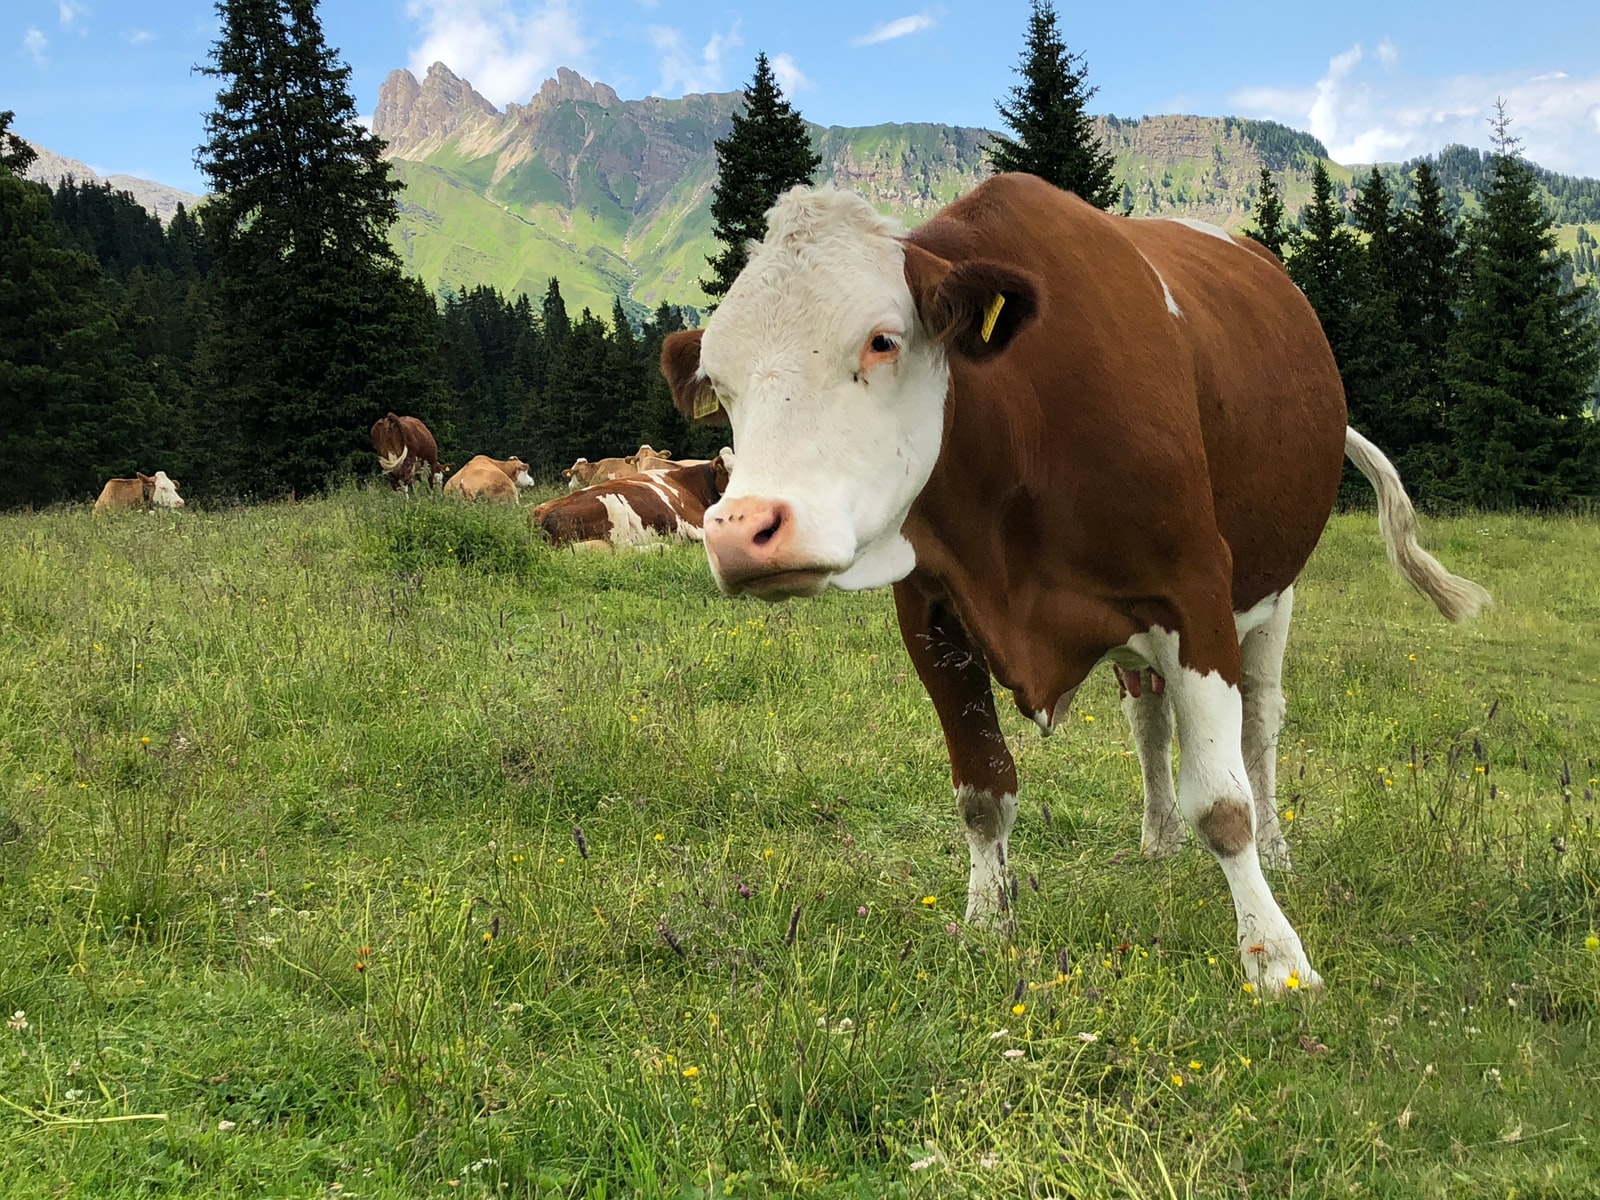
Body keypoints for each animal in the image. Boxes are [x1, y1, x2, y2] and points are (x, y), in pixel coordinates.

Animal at [532, 452, 734, 549]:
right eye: (729, 471)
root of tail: (540, 513)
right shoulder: (696, 523)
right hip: (614, 507)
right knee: (624, 550)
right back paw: (662, 546)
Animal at [659, 174, 1490, 996]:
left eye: (881, 339)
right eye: (720, 385)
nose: (742, 531)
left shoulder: (1195, 590)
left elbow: (1224, 803)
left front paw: (1275, 956)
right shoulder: (932, 614)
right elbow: (983, 791)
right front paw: (987, 925)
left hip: (1273, 594)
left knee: (1261, 725)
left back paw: (1280, 851)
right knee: (1149, 720)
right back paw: (1157, 838)